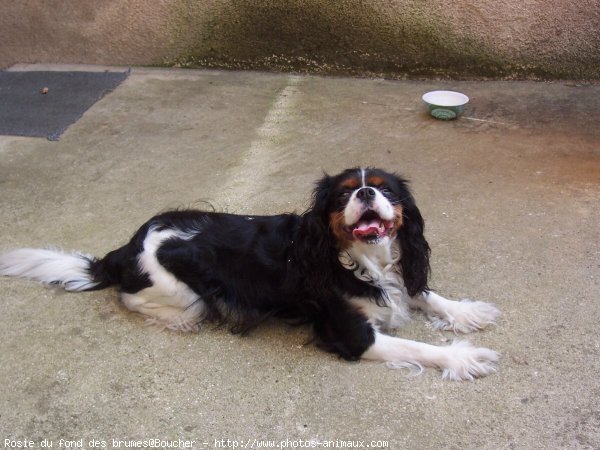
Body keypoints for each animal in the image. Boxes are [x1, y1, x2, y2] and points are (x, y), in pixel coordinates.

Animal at [0, 169, 496, 380]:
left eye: (385, 189)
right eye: (342, 195)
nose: (366, 193)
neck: (358, 257)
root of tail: (127, 246)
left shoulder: (396, 278)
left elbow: (421, 291)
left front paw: (465, 312)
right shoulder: (351, 334)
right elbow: (419, 348)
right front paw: (463, 358)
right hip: (183, 294)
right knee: (135, 298)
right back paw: (180, 321)